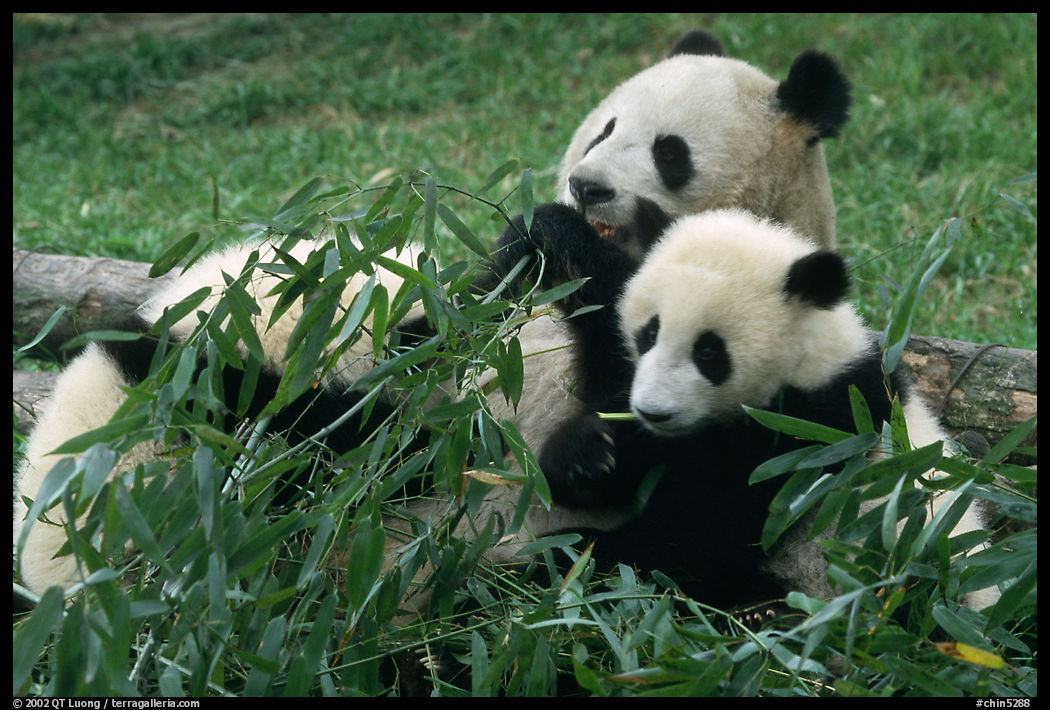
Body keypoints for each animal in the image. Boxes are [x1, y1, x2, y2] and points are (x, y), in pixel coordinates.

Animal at [490, 202, 1000, 613]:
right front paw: (589, 454)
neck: (805, 357)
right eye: (649, 333)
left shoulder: (815, 431)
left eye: (709, 352)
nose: (653, 411)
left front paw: (577, 559)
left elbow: (709, 528)